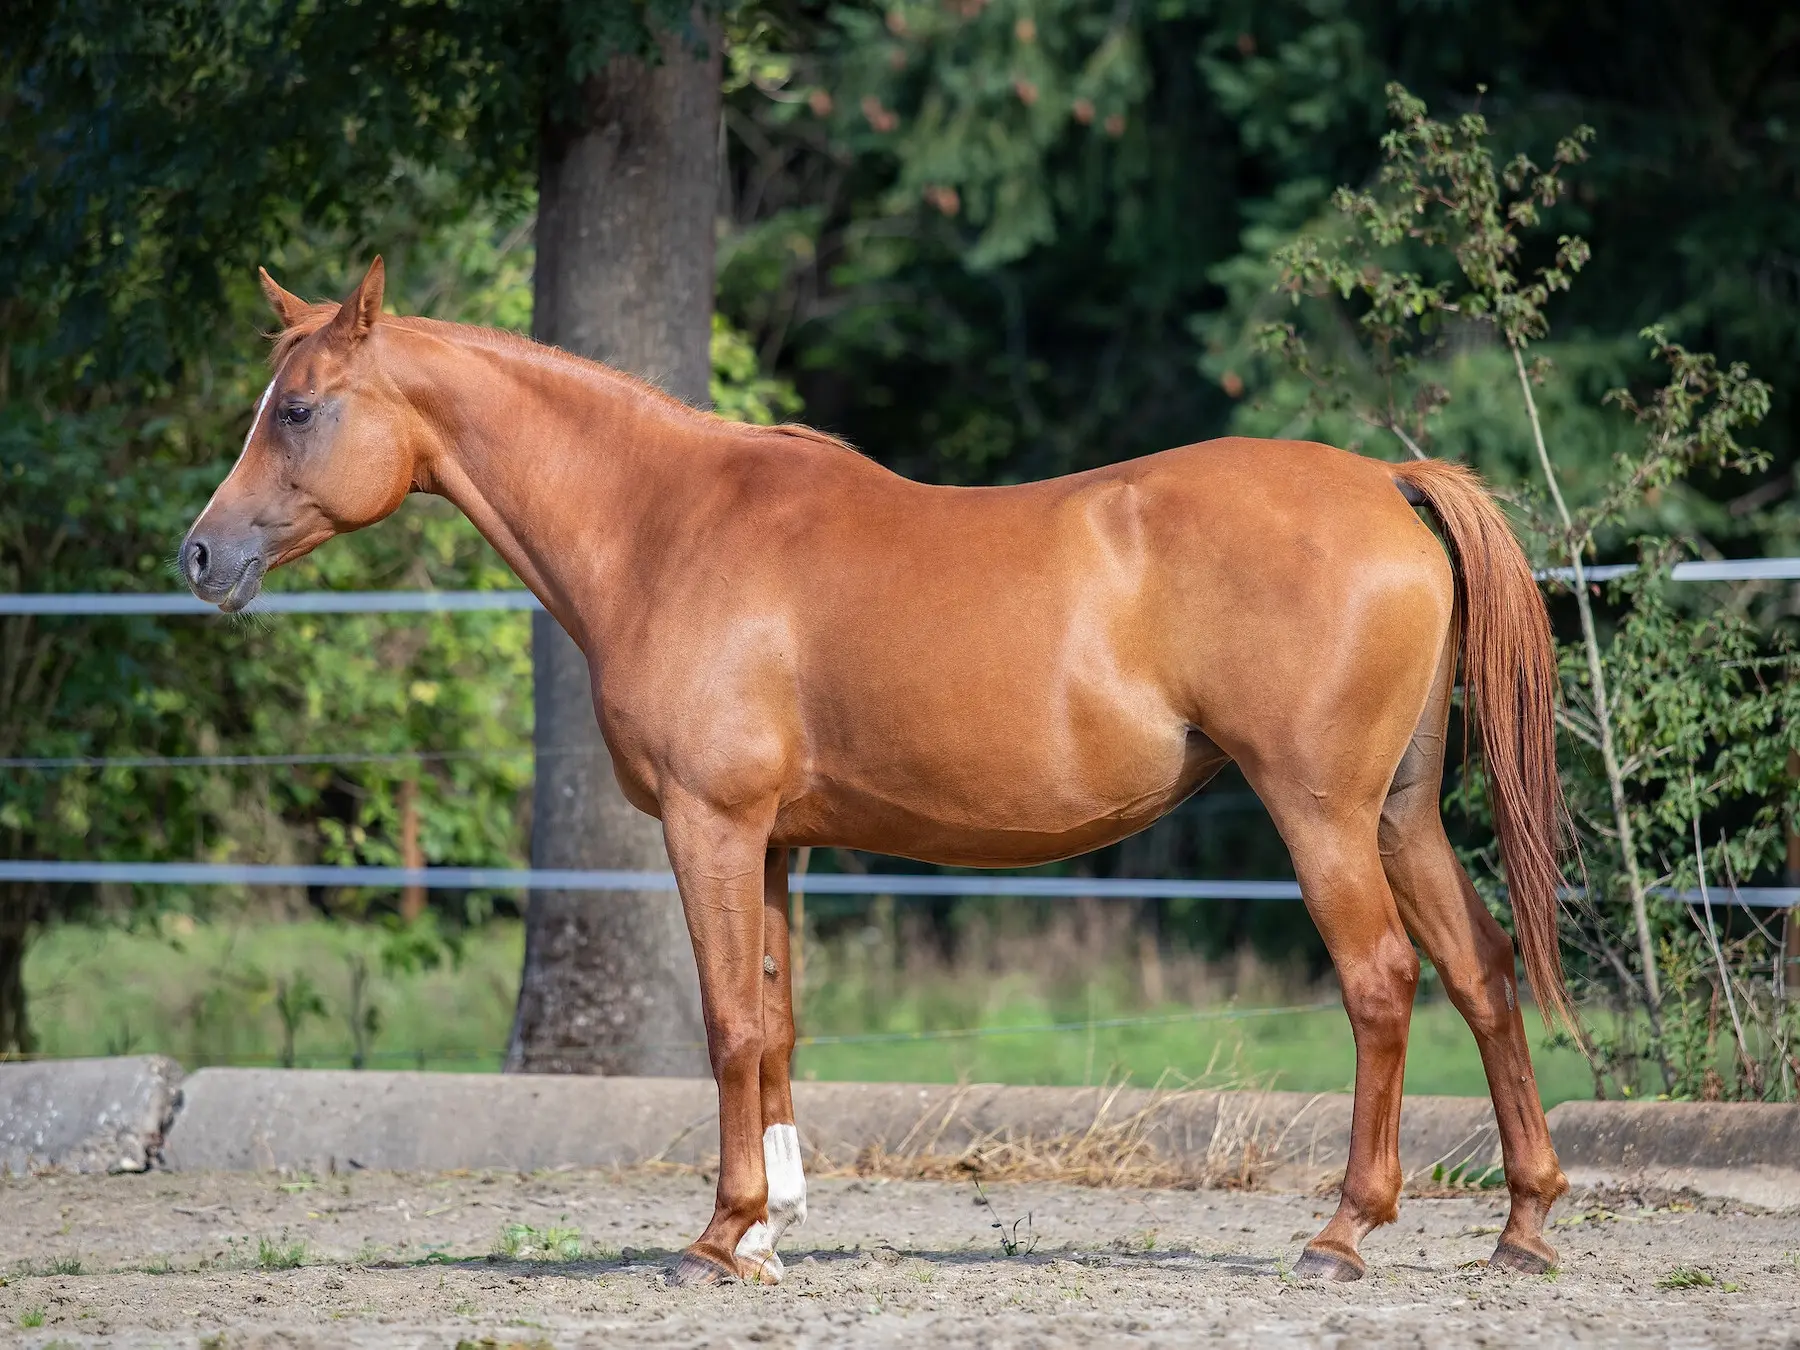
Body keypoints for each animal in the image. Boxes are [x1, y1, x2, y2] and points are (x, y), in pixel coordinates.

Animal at [175, 259, 1569, 1281]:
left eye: (298, 408)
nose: (199, 555)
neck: (666, 526)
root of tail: (1389, 483)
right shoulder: (777, 842)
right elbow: (779, 1024)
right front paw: (769, 1229)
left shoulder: (711, 825)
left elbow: (729, 1020)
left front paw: (718, 1238)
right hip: (1399, 817)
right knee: (1482, 973)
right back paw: (1524, 1223)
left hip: (1321, 815)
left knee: (1382, 983)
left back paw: (1344, 1231)